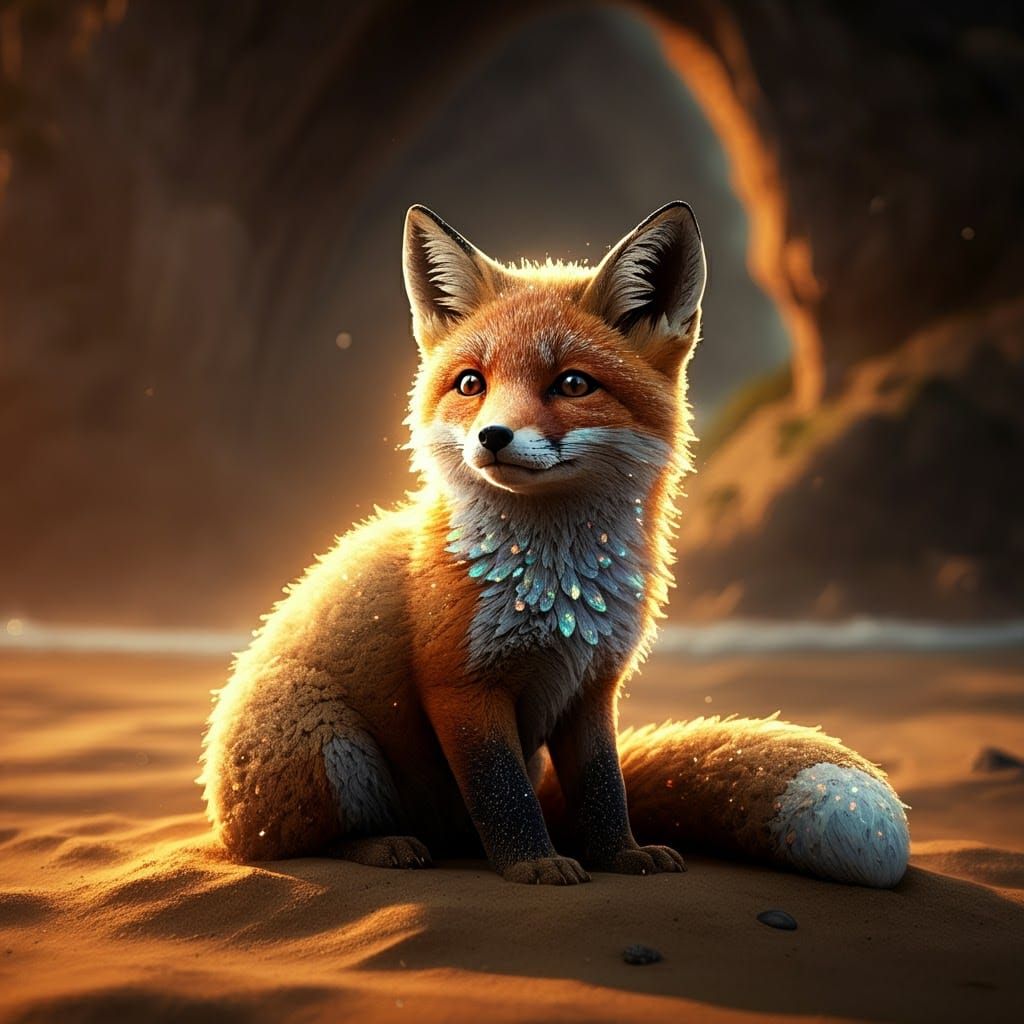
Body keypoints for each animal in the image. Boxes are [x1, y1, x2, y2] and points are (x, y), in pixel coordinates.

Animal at [200, 202, 910, 888]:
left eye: (572, 384)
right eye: (470, 384)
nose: (491, 437)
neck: (557, 591)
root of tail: (222, 820)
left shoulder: (592, 687)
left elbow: (604, 788)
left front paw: (621, 855)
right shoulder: (461, 686)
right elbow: (505, 795)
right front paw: (533, 866)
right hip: (323, 735)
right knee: (300, 845)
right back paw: (384, 844)